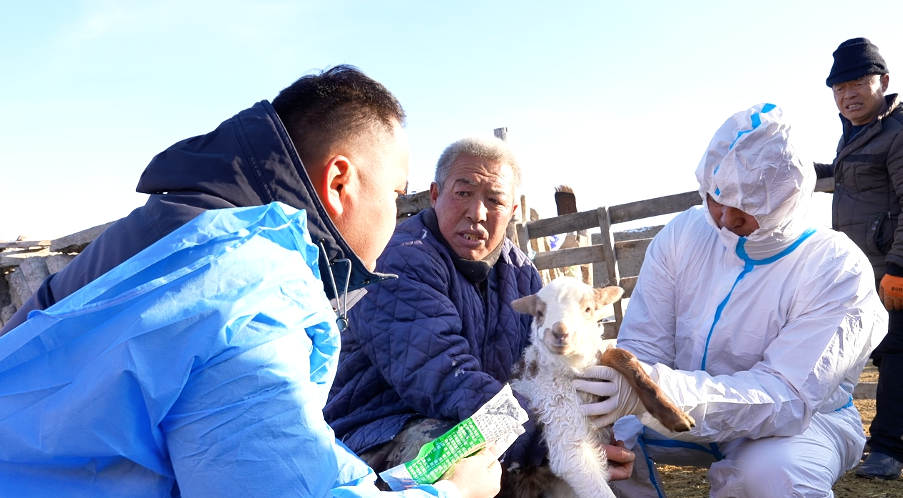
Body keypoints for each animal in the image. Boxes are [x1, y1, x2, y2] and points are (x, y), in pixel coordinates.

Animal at [503, 276, 695, 498]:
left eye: (588, 309)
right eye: (540, 313)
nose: (560, 332)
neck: (573, 370)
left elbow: (620, 354)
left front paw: (675, 416)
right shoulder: (562, 422)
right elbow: (580, 469)